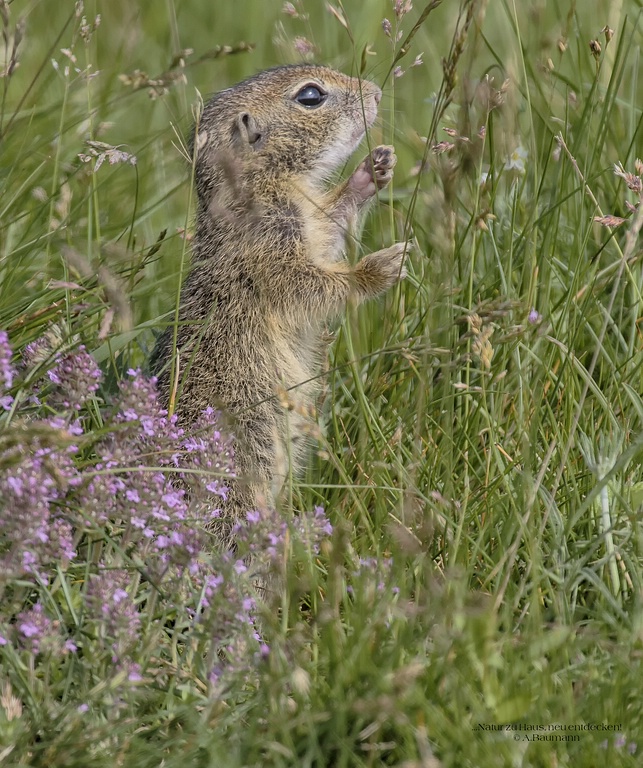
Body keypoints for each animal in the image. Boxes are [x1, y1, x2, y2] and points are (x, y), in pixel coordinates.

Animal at [150, 64, 410, 544]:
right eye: (310, 97)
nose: (377, 93)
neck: (261, 183)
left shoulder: (309, 222)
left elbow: (330, 225)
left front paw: (371, 171)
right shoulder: (270, 245)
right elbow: (309, 286)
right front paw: (379, 268)